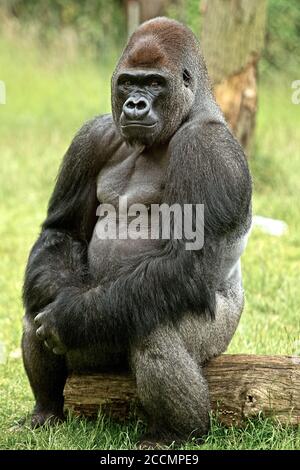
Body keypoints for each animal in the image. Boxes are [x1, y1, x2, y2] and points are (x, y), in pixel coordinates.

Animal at [21, 17, 251, 444]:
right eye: (128, 82)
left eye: (155, 83)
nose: (135, 104)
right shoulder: (92, 134)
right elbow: (63, 231)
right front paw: (58, 296)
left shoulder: (207, 148)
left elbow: (187, 260)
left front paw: (71, 315)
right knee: (37, 304)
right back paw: (48, 408)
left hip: (219, 337)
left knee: (152, 331)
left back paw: (179, 432)